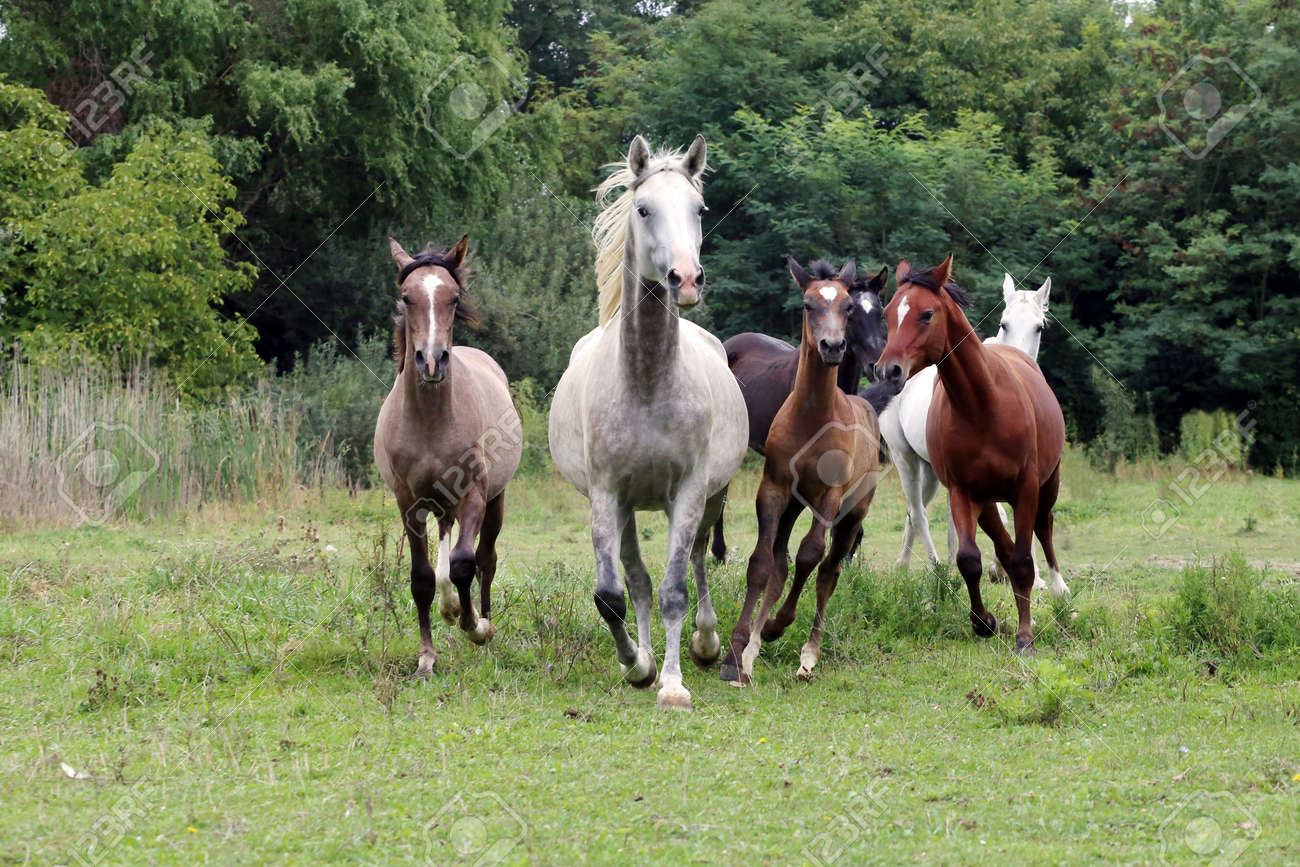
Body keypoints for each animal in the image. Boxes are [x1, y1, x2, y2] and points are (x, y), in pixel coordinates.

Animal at [374, 235, 522, 676]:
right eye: (406, 297)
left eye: (453, 298)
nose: (432, 360)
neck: (431, 422)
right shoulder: (409, 502)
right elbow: (423, 577)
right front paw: (426, 657)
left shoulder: (474, 495)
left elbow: (463, 563)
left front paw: (476, 628)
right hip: (438, 505)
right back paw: (451, 608)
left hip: (495, 501)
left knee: (485, 559)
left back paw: (480, 622)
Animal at [548, 134, 748, 711]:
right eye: (643, 208)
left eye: (699, 209)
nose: (686, 279)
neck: (646, 383)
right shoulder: (606, 495)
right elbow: (613, 594)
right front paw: (638, 665)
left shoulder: (690, 491)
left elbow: (675, 589)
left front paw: (675, 684)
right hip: (627, 508)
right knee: (634, 579)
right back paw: (643, 657)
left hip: (712, 497)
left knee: (699, 559)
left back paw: (705, 643)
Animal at [874, 256, 1065, 652]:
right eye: (888, 313)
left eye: (927, 313)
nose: (888, 371)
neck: (983, 404)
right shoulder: (965, 491)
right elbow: (970, 559)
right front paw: (984, 621)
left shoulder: (1025, 487)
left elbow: (1022, 553)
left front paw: (1025, 632)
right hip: (909, 462)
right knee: (919, 514)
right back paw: (932, 568)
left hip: (1041, 481)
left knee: (1043, 525)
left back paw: (1058, 587)